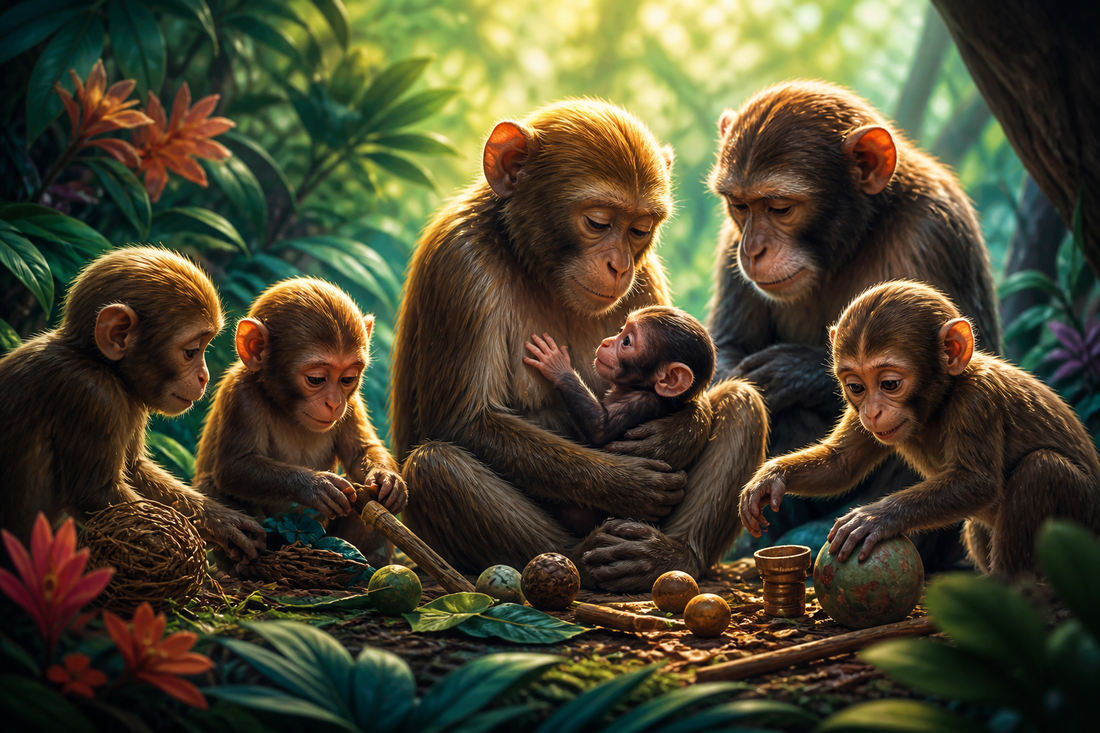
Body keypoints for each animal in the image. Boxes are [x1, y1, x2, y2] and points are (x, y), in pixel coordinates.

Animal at [0, 247, 264, 562]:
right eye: (191, 352)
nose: (204, 377)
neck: (99, 362)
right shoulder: (92, 394)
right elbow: (97, 495)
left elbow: (134, 470)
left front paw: (222, 522)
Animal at [194, 278, 406, 568]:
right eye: (316, 379)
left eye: (347, 379)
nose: (333, 403)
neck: (286, 409)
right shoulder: (242, 395)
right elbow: (233, 467)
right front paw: (316, 486)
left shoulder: (352, 402)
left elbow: (360, 452)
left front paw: (387, 479)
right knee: (212, 485)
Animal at [523, 305, 716, 448]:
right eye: (621, 330)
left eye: (626, 341)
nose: (605, 342)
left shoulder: (644, 401)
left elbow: (601, 427)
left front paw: (557, 364)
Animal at [707, 80, 1001, 569]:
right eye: (740, 206)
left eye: (780, 207)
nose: (754, 249)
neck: (850, 241)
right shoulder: (731, 241)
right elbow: (726, 349)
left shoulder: (931, 235)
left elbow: (948, 372)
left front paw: (790, 370)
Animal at [740, 280, 1100, 579]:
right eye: (856, 387)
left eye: (889, 384)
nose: (872, 412)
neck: (942, 400)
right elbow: (840, 463)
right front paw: (770, 478)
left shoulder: (977, 400)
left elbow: (978, 482)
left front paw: (876, 517)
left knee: (1042, 469)